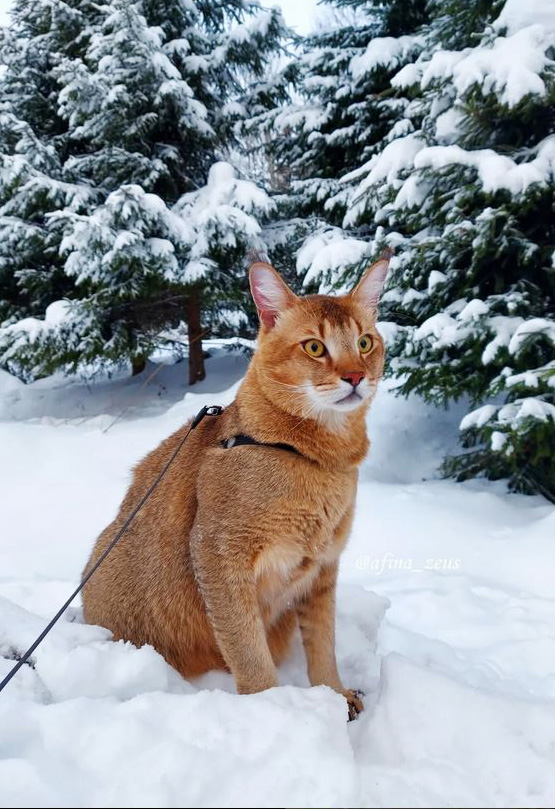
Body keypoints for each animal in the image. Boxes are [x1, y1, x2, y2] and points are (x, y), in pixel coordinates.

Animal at [84, 256, 394, 716]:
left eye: (365, 342)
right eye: (314, 347)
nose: (356, 375)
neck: (320, 460)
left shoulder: (322, 566)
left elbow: (323, 642)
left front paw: (334, 693)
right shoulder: (218, 552)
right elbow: (246, 647)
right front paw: (273, 709)